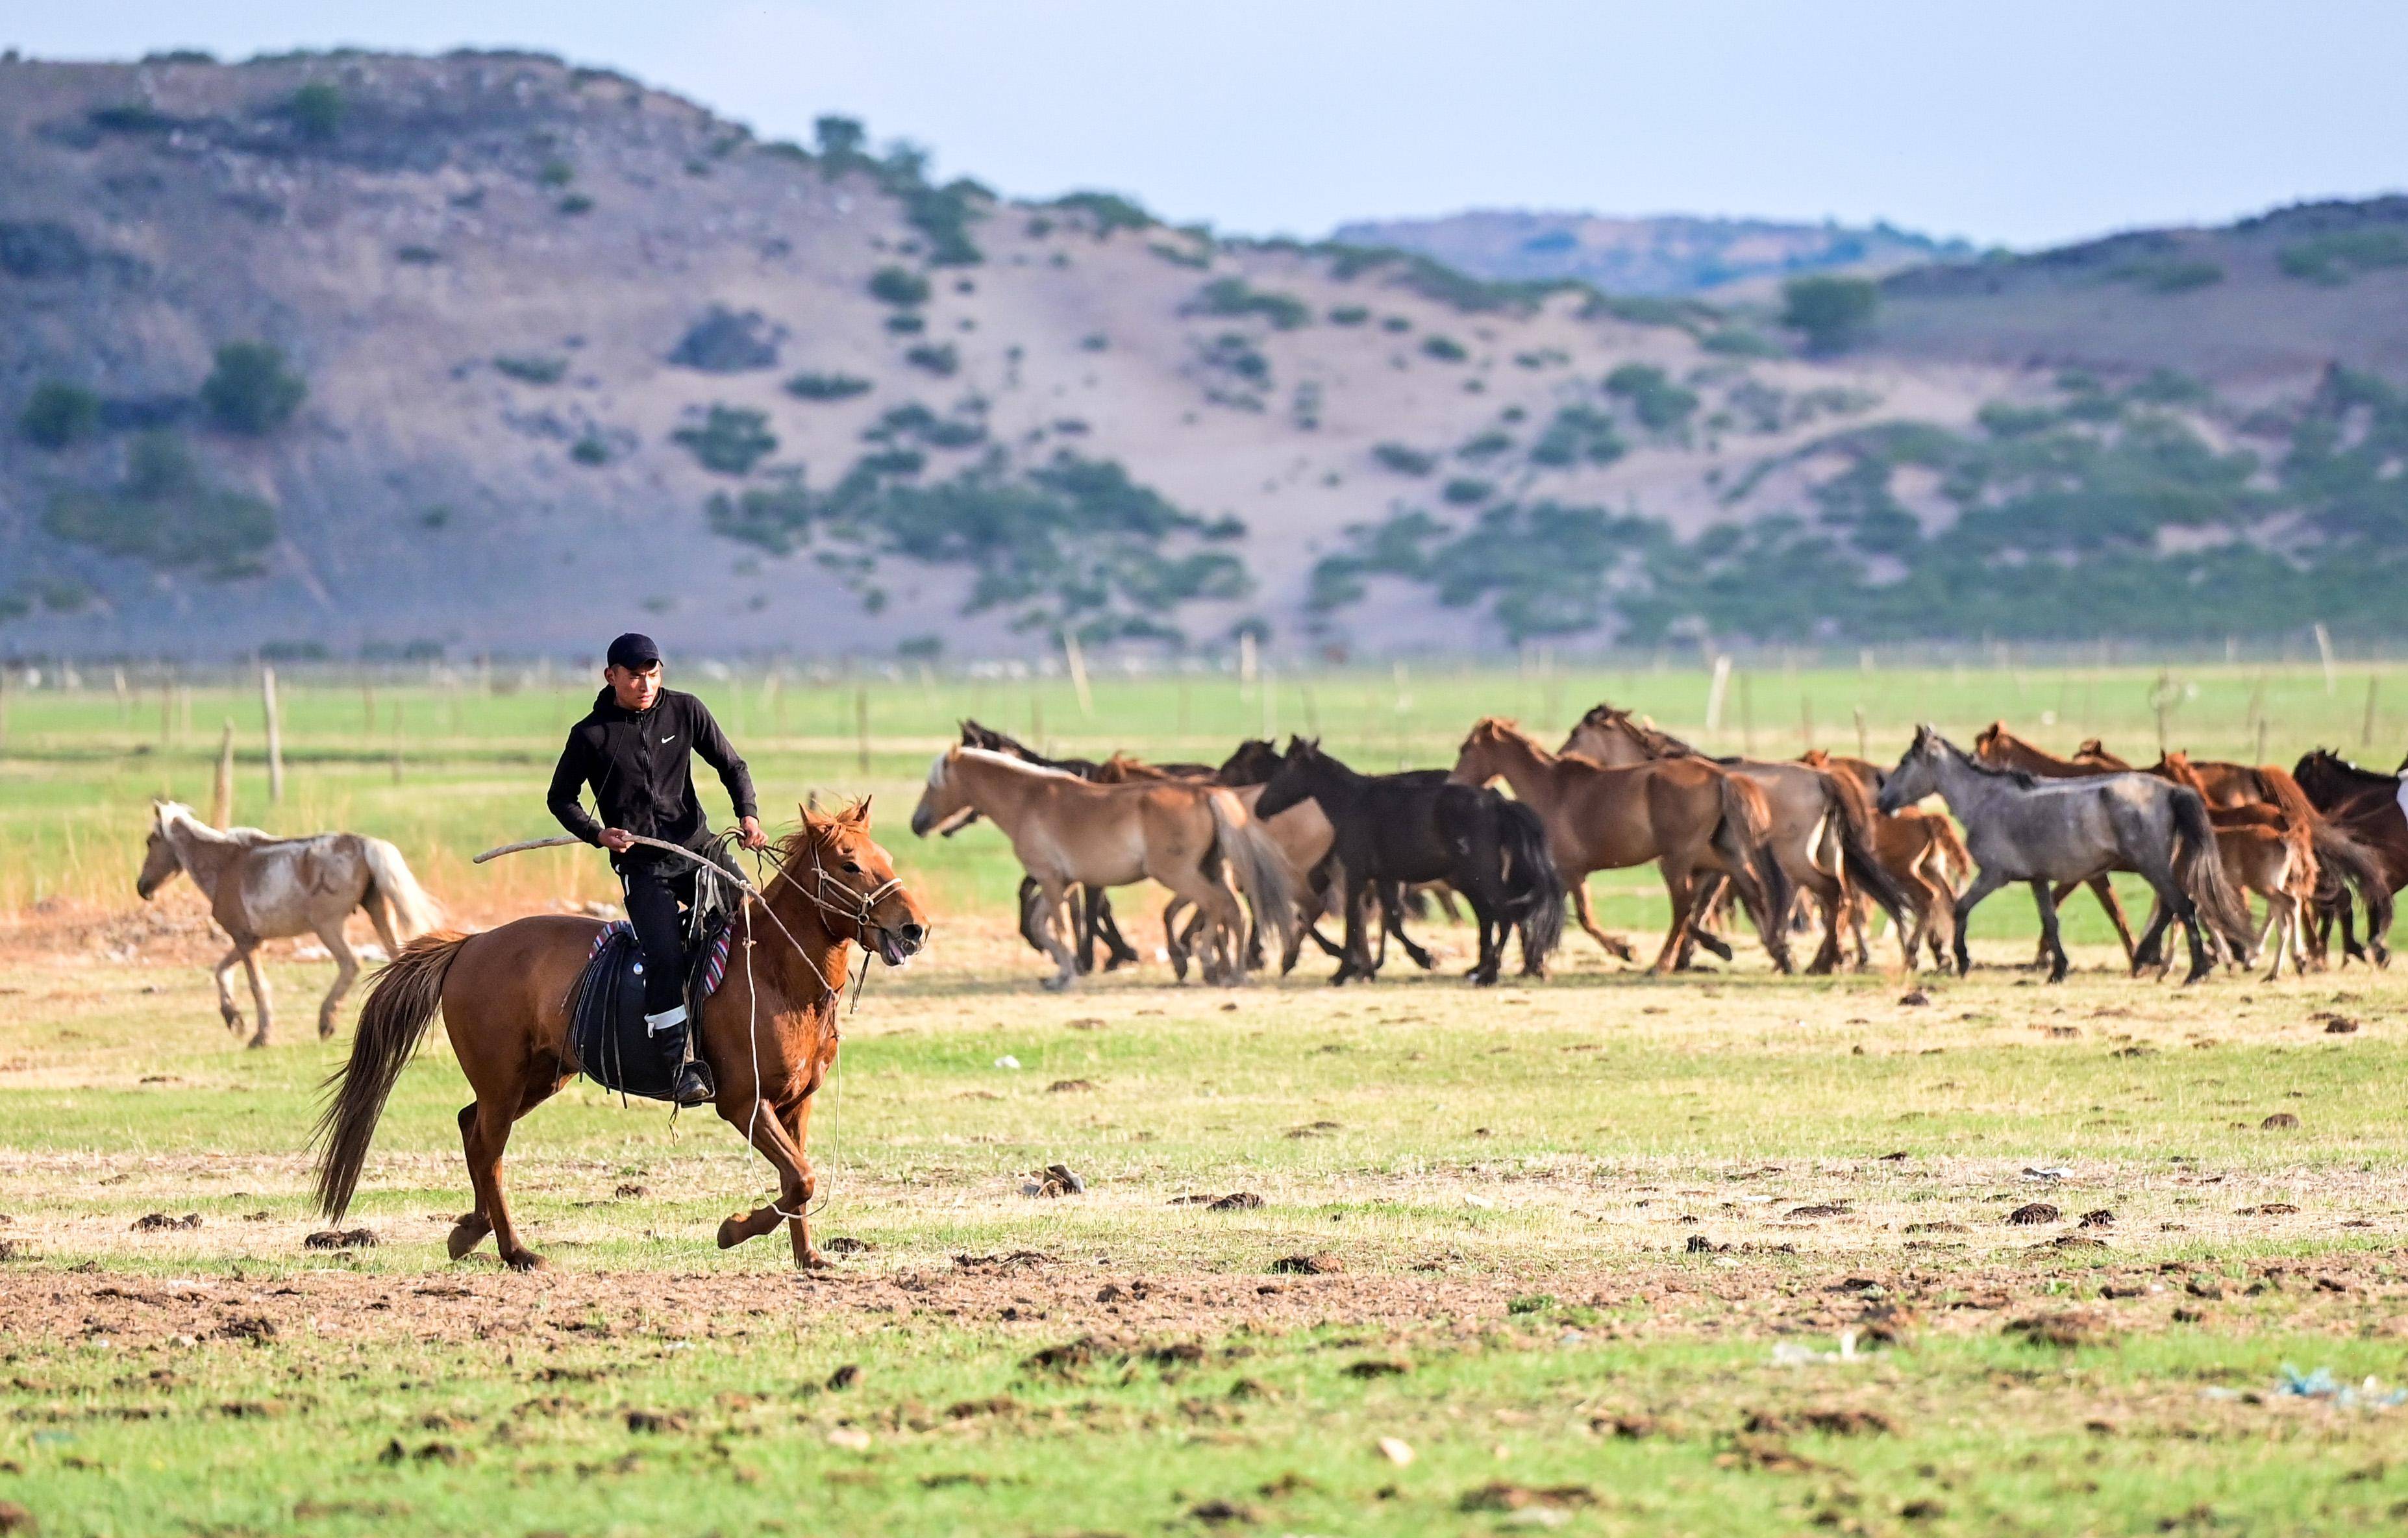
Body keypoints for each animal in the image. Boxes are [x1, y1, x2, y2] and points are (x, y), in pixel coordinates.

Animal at [313, 799, 929, 1271]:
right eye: (849, 865)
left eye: (885, 858)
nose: (914, 928)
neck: (775, 972)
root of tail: (472, 943)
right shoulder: (744, 1102)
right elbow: (799, 1178)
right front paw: (732, 1229)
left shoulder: (795, 1103)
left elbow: (799, 1178)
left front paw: (809, 1258)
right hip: (504, 1081)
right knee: (488, 1146)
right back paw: (516, 1250)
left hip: (540, 1077)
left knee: (472, 1129)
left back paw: (471, 1231)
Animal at [1252, 736, 1570, 987]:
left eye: (1285, 769)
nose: (1259, 809)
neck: (1353, 803)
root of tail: (1498, 802)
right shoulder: (1384, 878)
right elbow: (1392, 920)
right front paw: (1419, 958)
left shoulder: (1355, 875)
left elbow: (1354, 922)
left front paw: (1342, 973)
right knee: (1495, 916)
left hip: (1479, 875)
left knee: (1503, 915)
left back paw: (1490, 975)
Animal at [1445, 717, 1791, 972]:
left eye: (1466, 748)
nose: (1451, 785)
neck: (1551, 789)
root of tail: (1720, 776)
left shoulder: (1571, 873)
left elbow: (1585, 918)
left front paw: (1626, 950)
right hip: (1721, 853)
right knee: (1754, 889)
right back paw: (1779, 952)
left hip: (1676, 860)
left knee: (1684, 906)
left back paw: (1661, 964)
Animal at [1878, 726, 2253, 987]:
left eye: (1904, 761)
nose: (1881, 801)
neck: (1988, 800)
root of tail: (2171, 790)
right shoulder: (2038, 879)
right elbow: (2050, 920)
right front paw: (2058, 970)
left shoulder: (1994, 876)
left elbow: (1960, 908)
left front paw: (1963, 961)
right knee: (2173, 908)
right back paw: (2152, 960)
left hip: (2152, 866)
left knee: (2183, 906)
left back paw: (2194, 972)